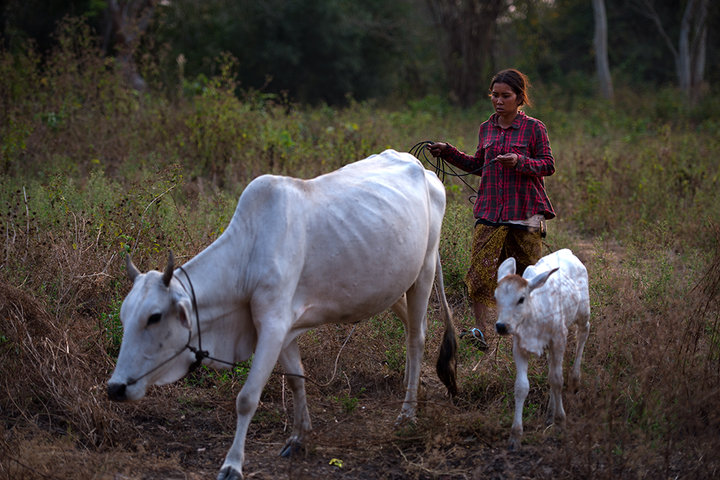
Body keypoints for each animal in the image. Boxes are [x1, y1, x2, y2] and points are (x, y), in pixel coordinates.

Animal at [107, 150, 456, 480]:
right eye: (124, 317)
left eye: (154, 317)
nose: (115, 388)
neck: (248, 256)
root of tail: (423, 170)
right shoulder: (285, 329)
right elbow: (297, 379)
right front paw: (299, 437)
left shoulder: (272, 326)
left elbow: (247, 398)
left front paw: (232, 465)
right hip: (392, 286)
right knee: (413, 326)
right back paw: (413, 391)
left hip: (424, 271)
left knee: (416, 338)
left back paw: (407, 413)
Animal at [496, 248, 592, 450]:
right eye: (496, 297)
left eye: (521, 299)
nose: (501, 326)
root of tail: (567, 251)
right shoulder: (519, 346)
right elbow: (521, 387)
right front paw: (515, 435)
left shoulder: (559, 339)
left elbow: (557, 379)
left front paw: (560, 422)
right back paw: (549, 411)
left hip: (583, 311)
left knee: (583, 334)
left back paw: (575, 379)